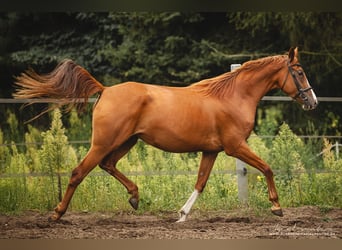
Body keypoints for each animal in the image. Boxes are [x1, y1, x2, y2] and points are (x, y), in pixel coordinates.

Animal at [13, 47, 318, 222]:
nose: (312, 102)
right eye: (300, 72)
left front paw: (181, 215)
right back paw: (56, 214)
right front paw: (277, 208)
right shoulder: (235, 146)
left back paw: (135, 197)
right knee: (79, 172)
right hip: (103, 142)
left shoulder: (212, 150)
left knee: (107, 165)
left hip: (126, 141)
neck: (232, 96)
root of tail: (105, 90)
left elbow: (200, 182)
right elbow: (267, 168)